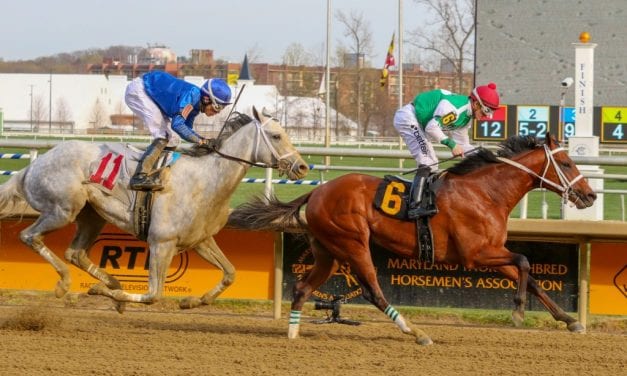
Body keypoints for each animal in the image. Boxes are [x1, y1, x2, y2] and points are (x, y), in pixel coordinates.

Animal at [0, 106, 310, 312]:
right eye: (276, 135)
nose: (302, 167)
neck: (206, 180)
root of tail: (32, 167)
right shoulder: (162, 242)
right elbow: (154, 295)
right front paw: (105, 293)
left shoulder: (200, 240)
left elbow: (230, 272)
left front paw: (193, 300)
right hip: (62, 209)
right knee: (30, 236)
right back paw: (66, 283)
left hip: (91, 216)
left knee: (75, 252)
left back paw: (110, 282)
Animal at [231, 134, 600, 346]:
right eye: (566, 162)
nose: (590, 195)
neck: (486, 193)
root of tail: (317, 191)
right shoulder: (478, 253)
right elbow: (524, 262)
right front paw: (519, 311)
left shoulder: (493, 251)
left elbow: (531, 276)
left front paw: (570, 321)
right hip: (353, 243)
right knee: (373, 291)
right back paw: (416, 332)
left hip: (328, 252)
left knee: (302, 288)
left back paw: (293, 335)